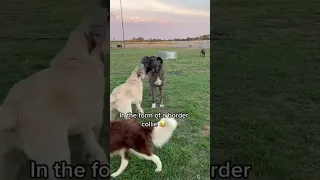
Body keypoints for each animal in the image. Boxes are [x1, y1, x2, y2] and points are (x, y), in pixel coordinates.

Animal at [0, 8, 109, 180]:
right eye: (108, 19)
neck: (76, 57)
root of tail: (14, 107)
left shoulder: (84, 123)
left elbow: (90, 141)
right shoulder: (96, 120)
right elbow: (94, 141)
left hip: (8, 161)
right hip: (57, 158)